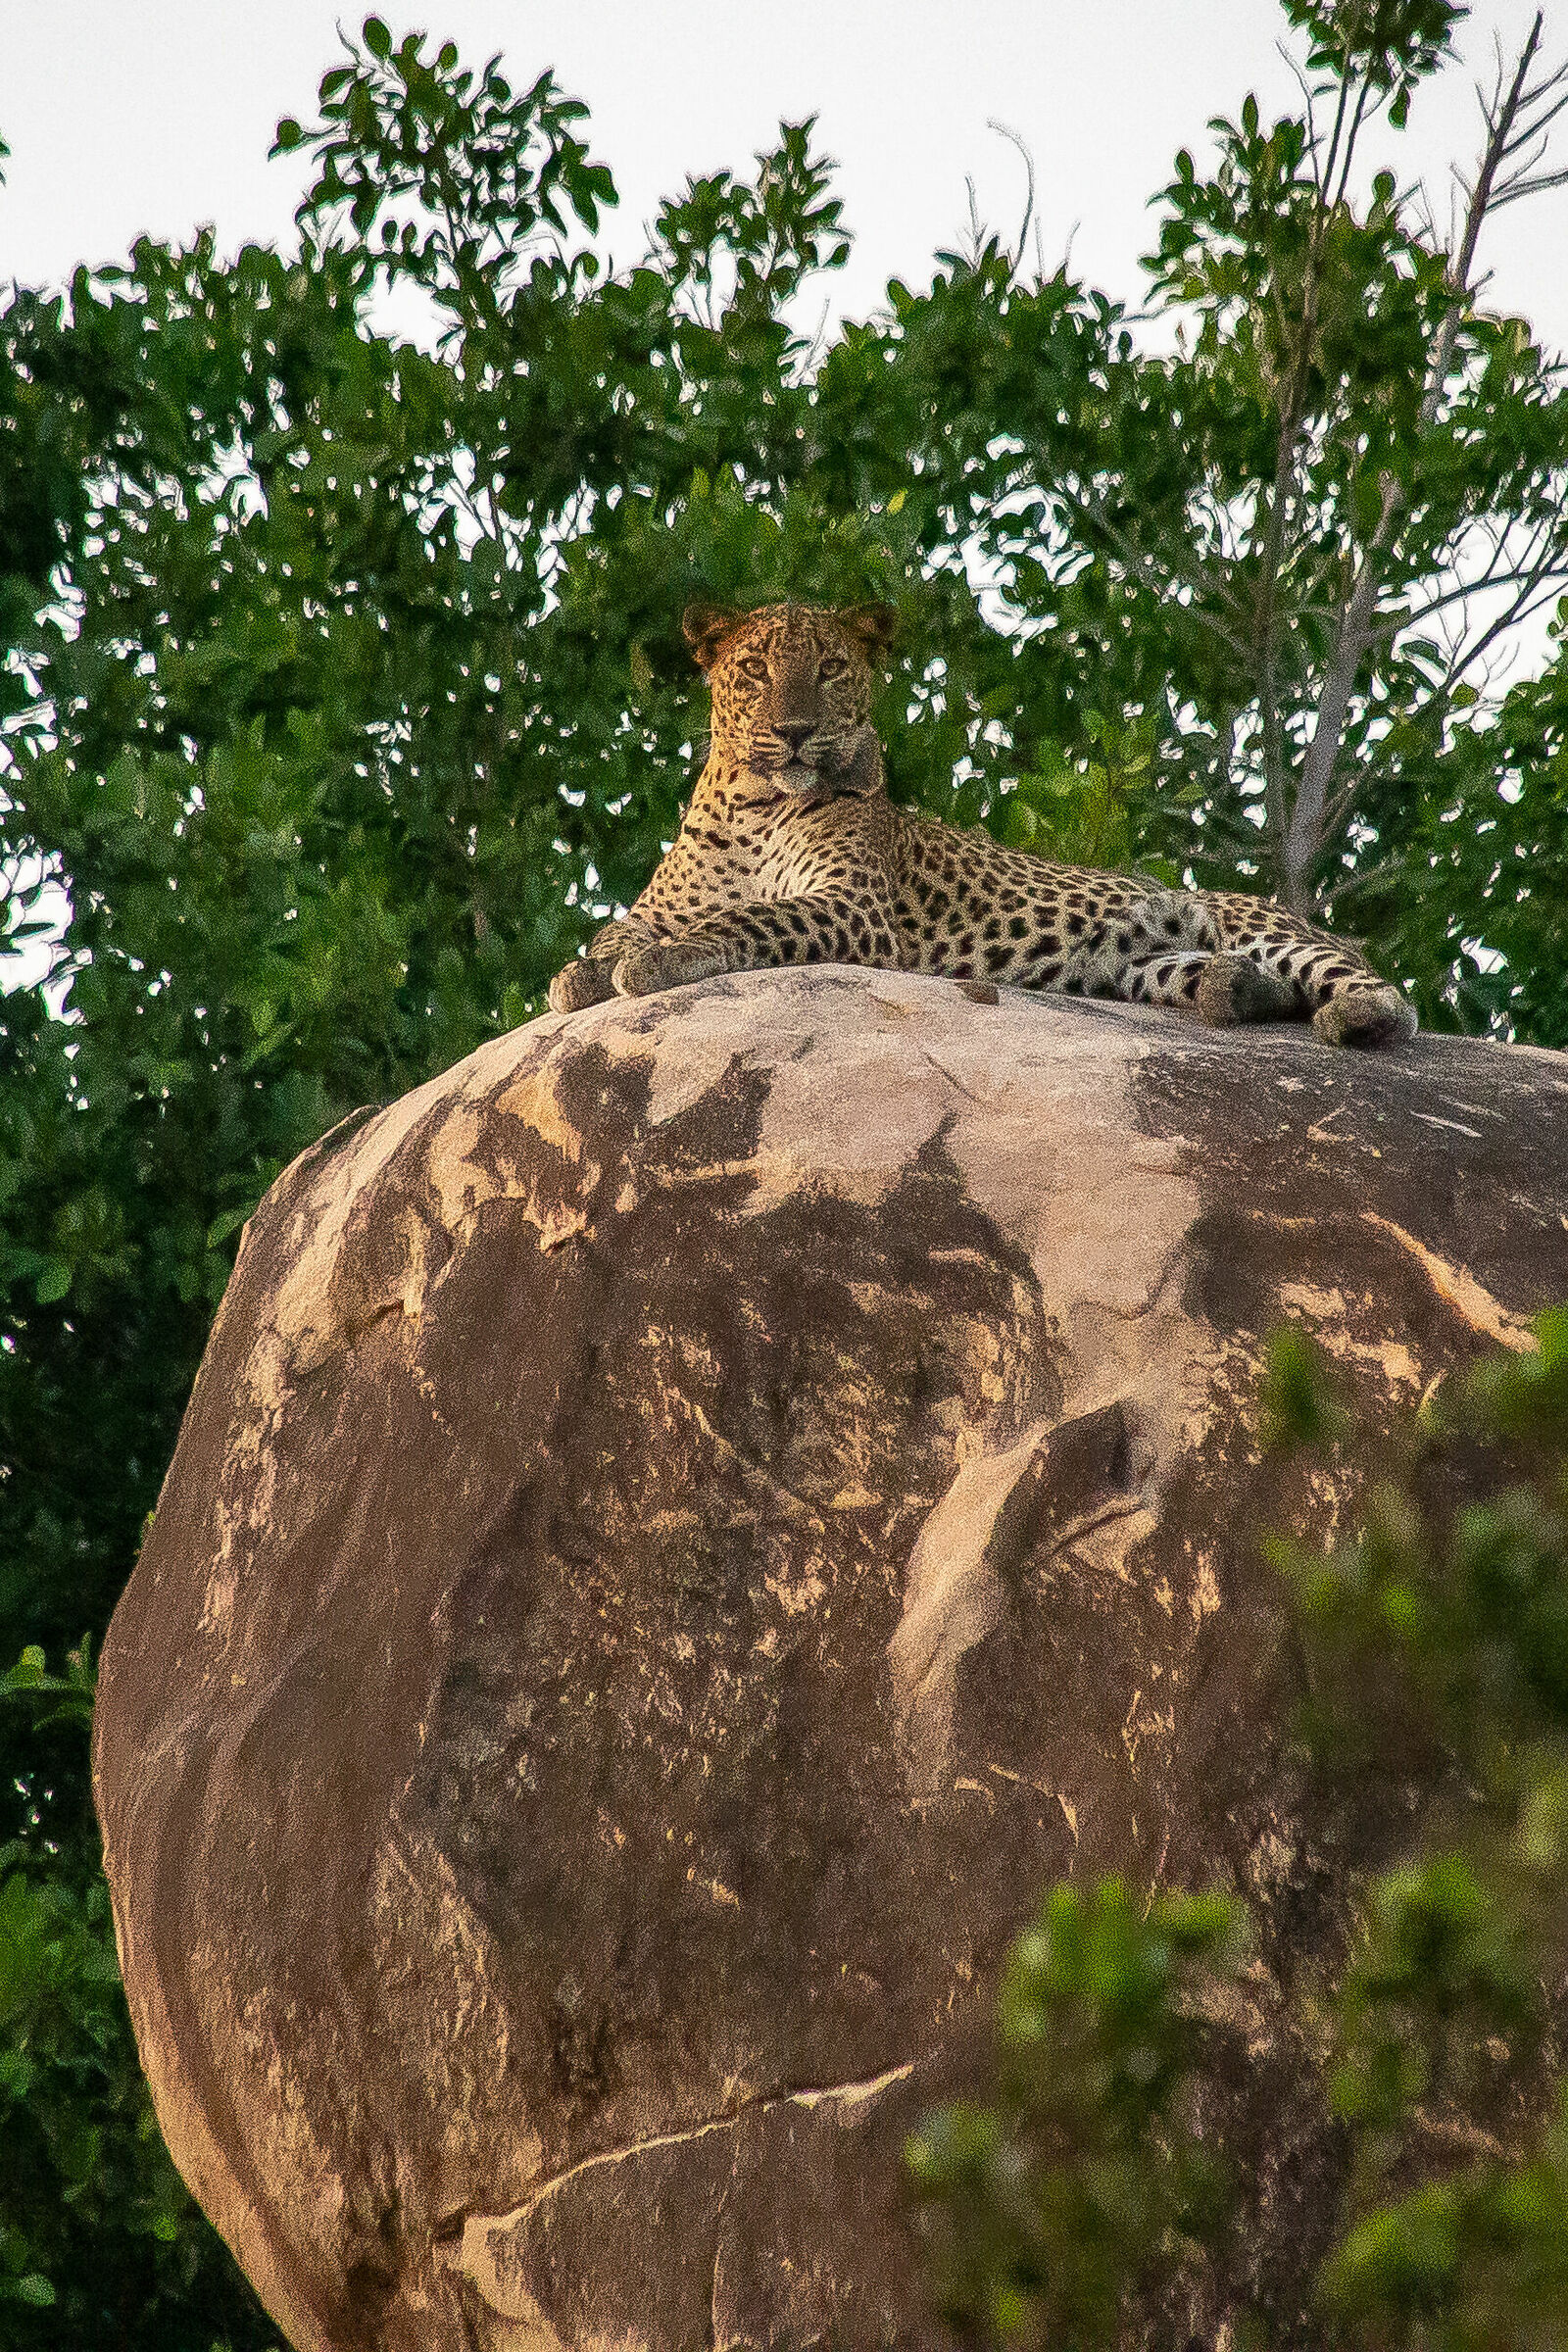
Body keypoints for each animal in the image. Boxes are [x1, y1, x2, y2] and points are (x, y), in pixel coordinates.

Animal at [547, 598, 1418, 1050]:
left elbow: (750, 917)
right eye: (755, 671)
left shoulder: (853, 907)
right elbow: (618, 932)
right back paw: (1236, 991)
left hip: (1261, 923)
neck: (755, 803)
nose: (794, 732)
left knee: (1384, 993)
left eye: (830, 669)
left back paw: (1347, 1015)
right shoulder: (660, 904)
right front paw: (584, 975)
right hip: (1141, 966)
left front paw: (661, 963)